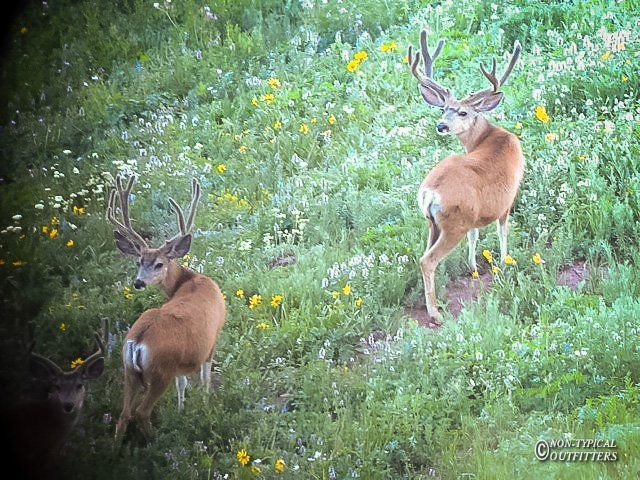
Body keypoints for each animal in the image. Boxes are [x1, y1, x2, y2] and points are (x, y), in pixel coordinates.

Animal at [107, 175, 226, 443]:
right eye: (139, 262)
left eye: (158, 263)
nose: (138, 282)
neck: (189, 280)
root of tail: (138, 341)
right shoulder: (213, 340)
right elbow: (205, 377)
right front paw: (205, 406)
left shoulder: (181, 362)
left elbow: (183, 385)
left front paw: (182, 410)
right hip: (160, 371)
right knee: (141, 412)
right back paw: (157, 439)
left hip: (128, 369)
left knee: (123, 414)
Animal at [407, 30, 524, 324]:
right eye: (443, 109)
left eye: (461, 111)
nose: (441, 125)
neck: (490, 137)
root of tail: (430, 192)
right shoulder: (507, 200)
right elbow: (502, 231)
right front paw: (505, 262)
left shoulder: (475, 214)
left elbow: (475, 235)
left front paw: (473, 267)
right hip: (453, 223)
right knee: (427, 260)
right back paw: (435, 313)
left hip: (434, 222)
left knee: (424, 253)